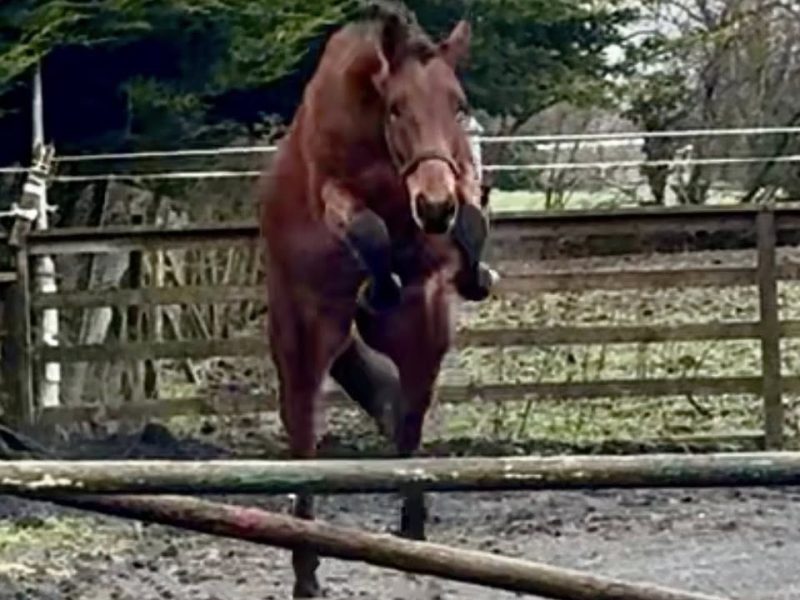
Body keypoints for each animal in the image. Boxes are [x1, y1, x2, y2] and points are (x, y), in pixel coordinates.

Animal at [257, 5, 493, 597]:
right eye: (397, 108)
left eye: (458, 105)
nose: (432, 207)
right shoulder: (335, 194)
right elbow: (366, 227)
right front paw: (380, 278)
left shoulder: (457, 174)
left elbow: (472, 219)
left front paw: (472, 269)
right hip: (304, 344)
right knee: (305, 449)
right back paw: (306, 571)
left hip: (423, 338)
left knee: (406, 421)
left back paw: (414, 536)